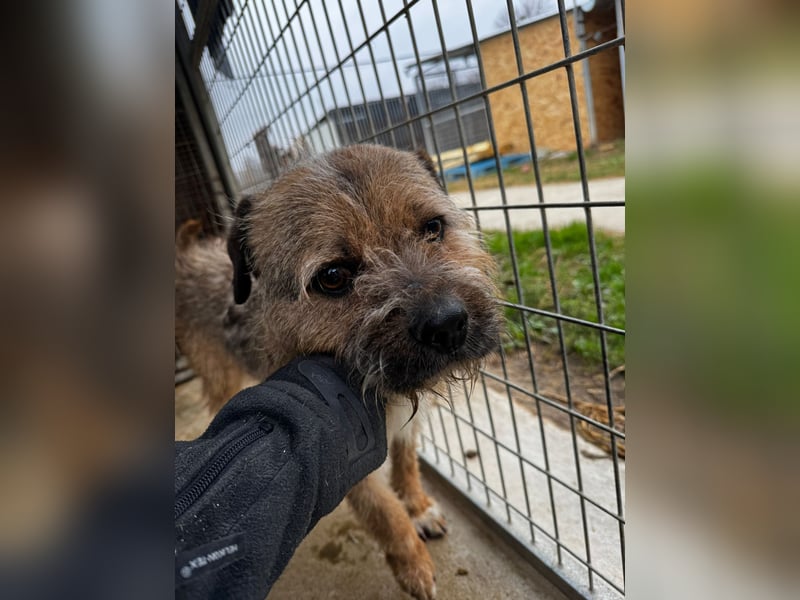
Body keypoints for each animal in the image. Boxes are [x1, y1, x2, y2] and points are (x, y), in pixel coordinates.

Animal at [175, 144, 502, 599]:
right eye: (332, 277)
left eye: (433, 227)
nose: (448, 324)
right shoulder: (346, 452)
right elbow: (384, 511)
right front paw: (412, 563)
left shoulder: (404, 425)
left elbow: (407, 462)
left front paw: (418, 506)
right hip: (220, 375)